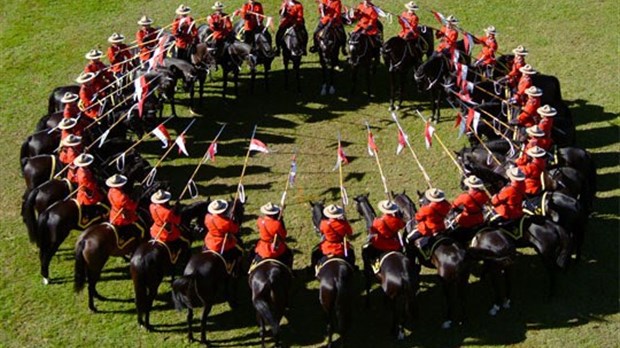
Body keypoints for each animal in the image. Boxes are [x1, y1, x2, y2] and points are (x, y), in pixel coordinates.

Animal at [308, 200, 354, 346]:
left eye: (312, 213)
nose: (316, 230)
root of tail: (336, 280)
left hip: (327, 307)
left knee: (331, 326)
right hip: (343, 304)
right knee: (343, 326)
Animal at [354, 194, 416, 342]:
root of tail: (403, 275)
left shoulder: (367, 269)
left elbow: (367, 286)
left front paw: (367, 304)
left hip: (395, 297)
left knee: (395, 313)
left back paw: (394, 330)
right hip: (406, 296)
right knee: (404, 313)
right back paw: (400, 331)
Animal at [392, 192, 470, 328]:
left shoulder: (411, 257)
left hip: (446, 281)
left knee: (450, 298)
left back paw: (448, 319)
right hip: (462, 280)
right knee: (462, 297)